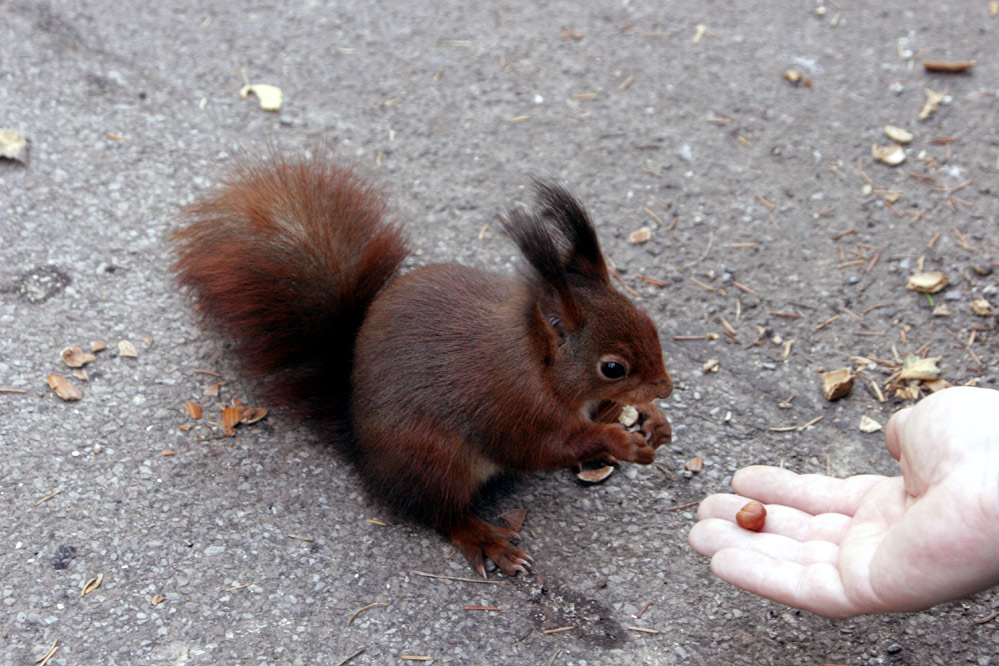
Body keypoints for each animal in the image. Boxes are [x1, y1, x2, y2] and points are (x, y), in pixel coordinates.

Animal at [174, 154, 672, 572]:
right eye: (612, 368)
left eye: (649, 322)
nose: (666, 388)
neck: (541, 364)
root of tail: (363, 450)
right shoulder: (512, 407)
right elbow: (540, 448)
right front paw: (617, 440)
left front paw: (653, 418)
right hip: (432, 458)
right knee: (439, 512)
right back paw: (484, 539)